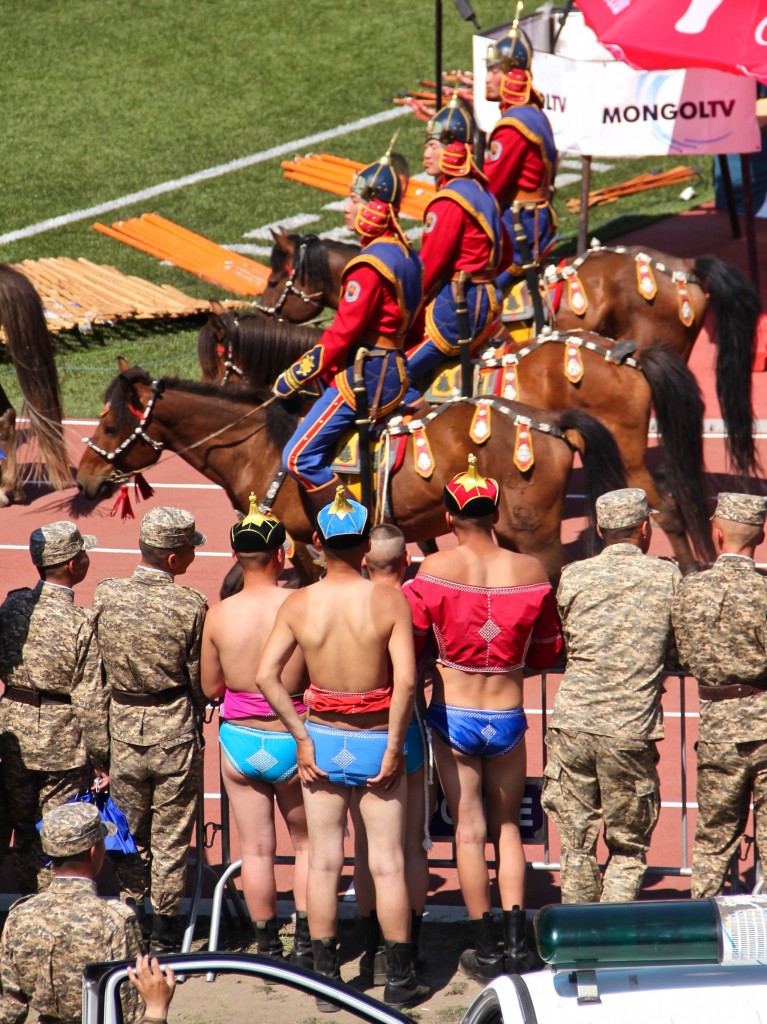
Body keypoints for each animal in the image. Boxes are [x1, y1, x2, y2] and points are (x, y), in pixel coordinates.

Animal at [76, 368, 626, 585]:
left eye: (110, 425)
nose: (82, 480)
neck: (257, 448)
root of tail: (549, 420)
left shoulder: (293, 537)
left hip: (534, 532)